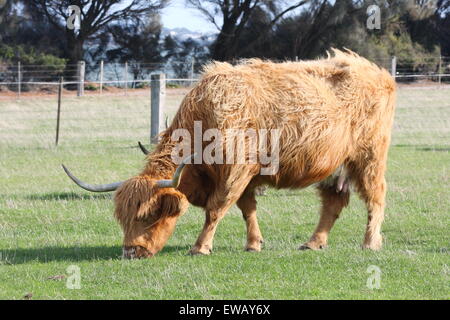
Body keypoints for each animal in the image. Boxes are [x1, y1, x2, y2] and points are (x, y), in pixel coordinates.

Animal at [64, 50, 398, 260]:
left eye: (149, 215)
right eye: (122, 218)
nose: (131, 252)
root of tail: (379, 72)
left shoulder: (237, 171)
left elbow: (216, 209)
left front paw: (200, 247)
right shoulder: (244, 177)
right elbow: (247, 208)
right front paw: (253, 244)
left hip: (369, 157)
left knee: (376, 197)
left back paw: (370, 242)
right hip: (334, 164)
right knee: (333, 202)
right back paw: (314, 242)